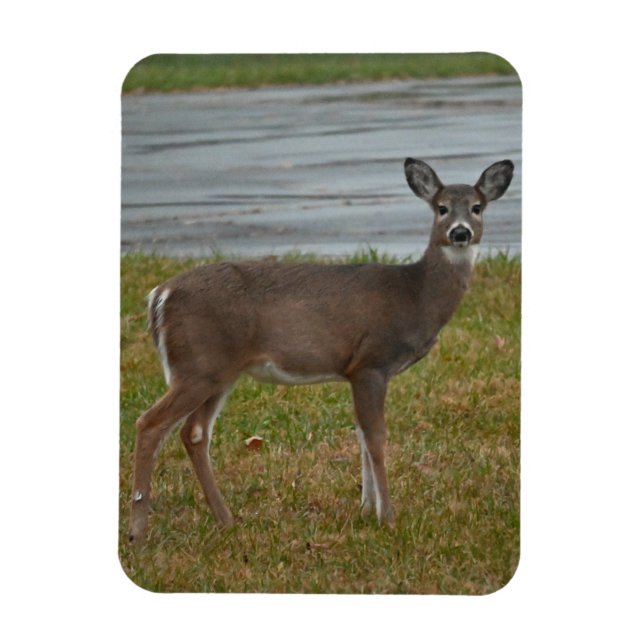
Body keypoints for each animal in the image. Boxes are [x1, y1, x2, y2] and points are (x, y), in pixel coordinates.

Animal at [128, 157, 514, 544]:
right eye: (442, 207)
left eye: (477, 207)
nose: (460, 233)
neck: (415, 295)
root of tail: (159, 295)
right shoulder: (371, 362)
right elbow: (376, 437)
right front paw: (387, 517)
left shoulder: (357, 371)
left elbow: (361, 435)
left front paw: (366, 509)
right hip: (198, 364)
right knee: (150, 423)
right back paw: (138, 531)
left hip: (218, 371)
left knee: (194, 432)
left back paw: (225, 519)